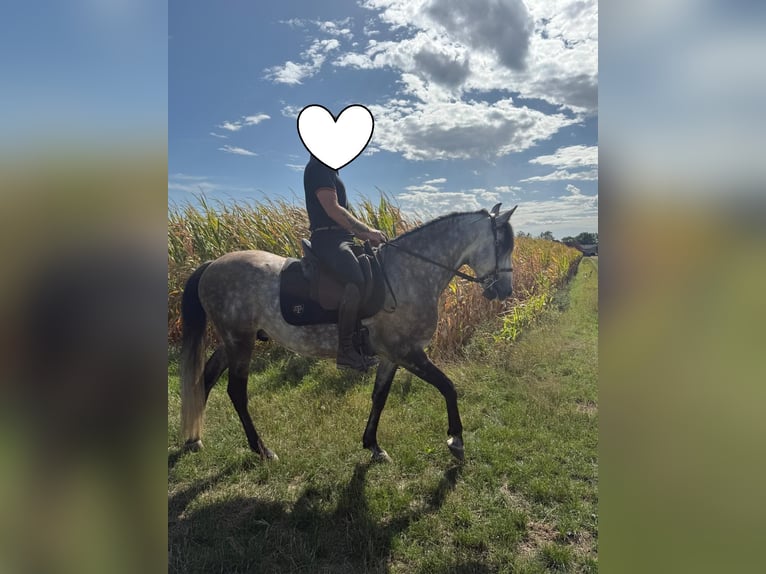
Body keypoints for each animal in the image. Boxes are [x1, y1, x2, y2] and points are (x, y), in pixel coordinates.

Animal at [179, 203, 517, 462]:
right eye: (502, 245)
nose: (505, 291)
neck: (410, 272)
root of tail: (213, 264)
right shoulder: (408, 352)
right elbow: (448, 386)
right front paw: (456, 440)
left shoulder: (391, 356)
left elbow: (379, 396)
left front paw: (373, 446)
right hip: (240, 340)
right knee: (236, 392)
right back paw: (262, 450)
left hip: (233, 340)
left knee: (205, 377)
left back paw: (193, 439)